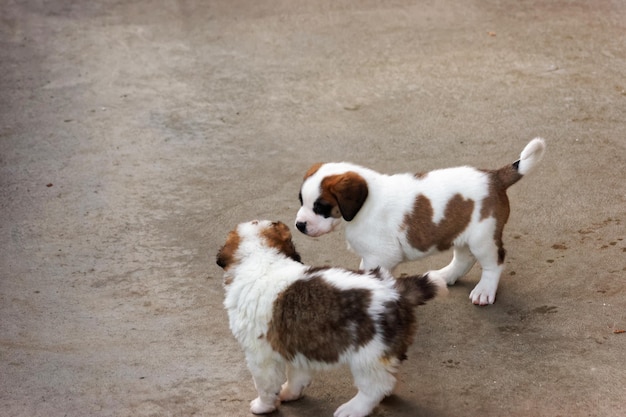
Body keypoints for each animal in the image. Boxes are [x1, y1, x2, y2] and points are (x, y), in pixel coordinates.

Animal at [214, 219, 444, 416]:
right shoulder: (297, 343)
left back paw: (353, 409)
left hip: (367, 354)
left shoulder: (259, 355)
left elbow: (265, 384)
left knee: (376, 386)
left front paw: (263, 406)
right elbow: (297, 374)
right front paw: (290, 392)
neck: (262, 257)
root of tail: (396, 290)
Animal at [294, 138, 544, 304]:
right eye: (301, 200)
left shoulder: (380, 256)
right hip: (462, 232)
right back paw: (445, 276)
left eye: (320, 207)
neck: (364, 204)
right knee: (464, 258)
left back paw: (484, 291)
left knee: (494, 262)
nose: (299, 225)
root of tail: (494, 177)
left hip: (483, 237)